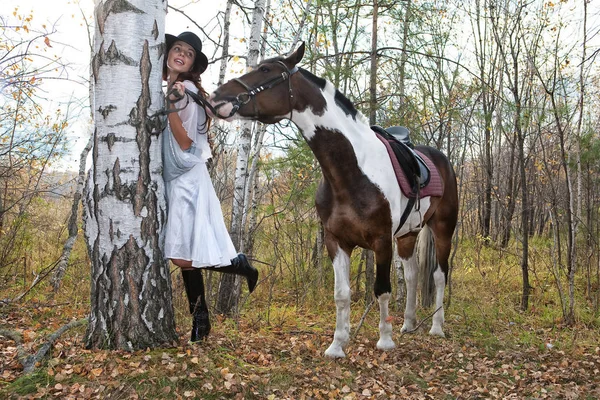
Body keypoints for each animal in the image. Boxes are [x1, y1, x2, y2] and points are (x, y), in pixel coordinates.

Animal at [207, 43, 460, 360]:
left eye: (265, 70)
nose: (215, 98)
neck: (350, 171)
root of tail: (441, 159)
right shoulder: (336, 240)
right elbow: (341, 294)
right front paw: (337, 345)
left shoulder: (381, 241)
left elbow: (382, 289)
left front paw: (384, 341)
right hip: (408, 234)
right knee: (413, 275)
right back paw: (409, 323)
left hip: (443, 229)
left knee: (439, 275)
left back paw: (436, 327)